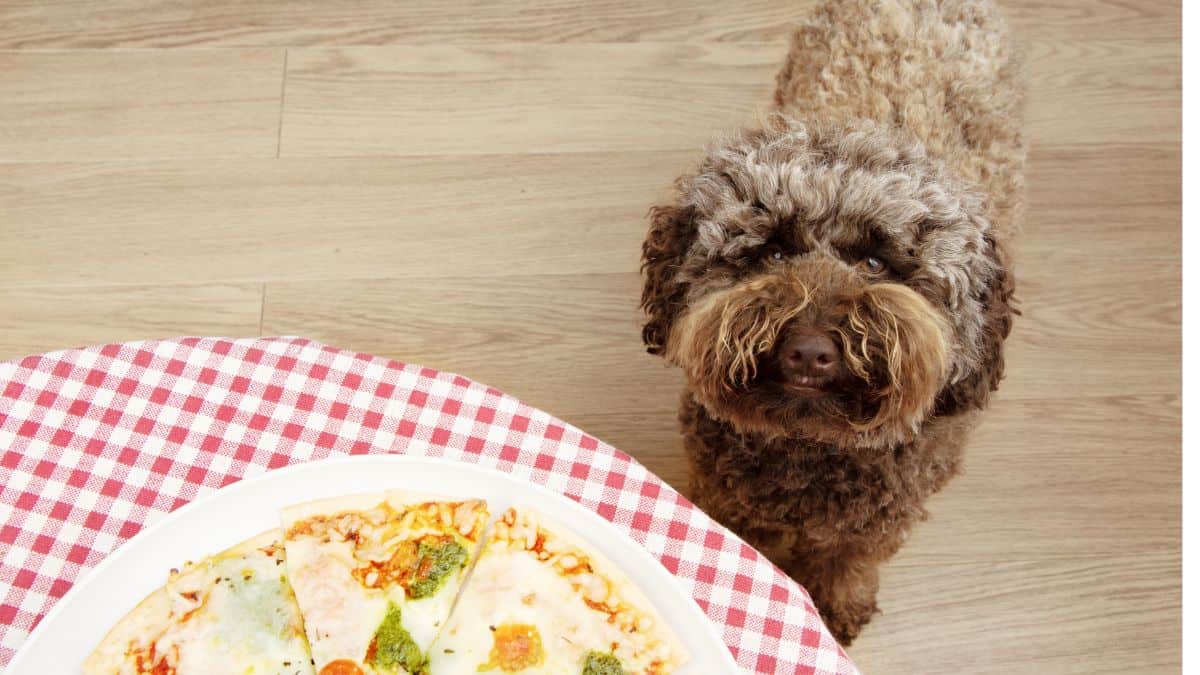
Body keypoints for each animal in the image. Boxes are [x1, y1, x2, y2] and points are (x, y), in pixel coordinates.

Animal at [643, 0, 1027, 638]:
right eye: (773, 252)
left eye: (876, 261)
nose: (810, 351)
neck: (812, 448)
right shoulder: (729, 497)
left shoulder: (880, 516)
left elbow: (850, 557)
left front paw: (838, 606)